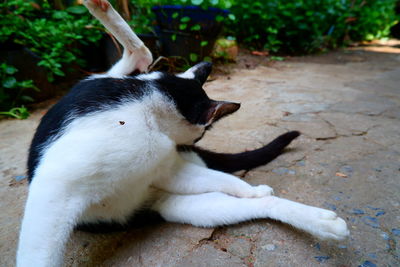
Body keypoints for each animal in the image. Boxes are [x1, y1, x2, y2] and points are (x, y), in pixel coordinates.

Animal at [15, 1, 348, 266]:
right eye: (201, 135)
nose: (190, 144)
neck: (146, 105)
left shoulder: (166, 167)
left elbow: (225, 180)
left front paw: (253, 189)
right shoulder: (56, 188)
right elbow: (37, 255)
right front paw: (253, 189)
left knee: (140, 52)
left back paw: (322, 222)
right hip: (167, 202)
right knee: (141, 53)